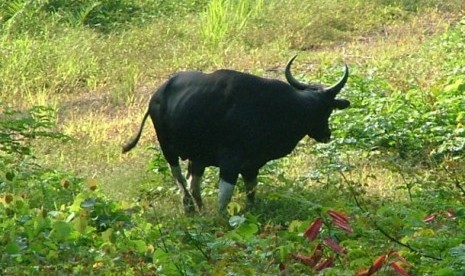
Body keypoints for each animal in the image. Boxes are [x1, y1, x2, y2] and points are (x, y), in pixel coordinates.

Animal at [121, 56, 350, 215]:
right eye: (327, 109)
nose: (326, 134)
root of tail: (156, 97)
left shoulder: (252, 165)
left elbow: (251, 191)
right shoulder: (230, 161)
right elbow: (225, 195)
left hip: (198, 156)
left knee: (194, 181)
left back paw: (201, 209)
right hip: (168, 148)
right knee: (180, 178)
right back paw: (189, 208)